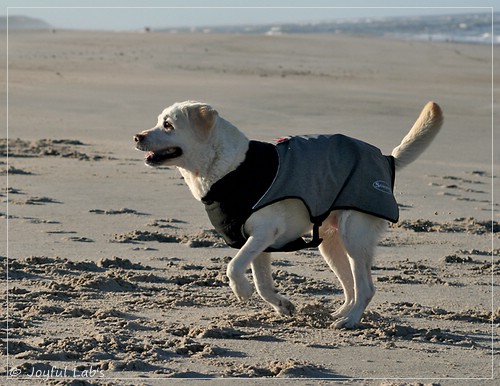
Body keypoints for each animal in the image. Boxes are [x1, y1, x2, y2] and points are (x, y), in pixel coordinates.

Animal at [135, 100, 444, 328]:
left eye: (168, 125)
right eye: (159, 121)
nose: (137, 136)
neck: (229, 168)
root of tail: (387, 159)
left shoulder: (263, 233)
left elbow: (233, 266)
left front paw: (241, 290)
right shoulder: (258, 244)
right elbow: (263, 284)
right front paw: (282, 305)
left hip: (354, 236)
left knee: (366, 288)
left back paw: (349, 321)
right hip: (331, 245)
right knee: (351, 287)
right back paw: (342, 314)